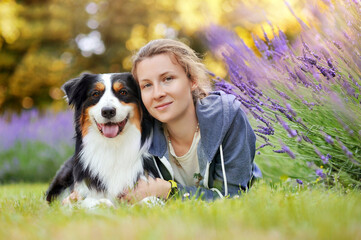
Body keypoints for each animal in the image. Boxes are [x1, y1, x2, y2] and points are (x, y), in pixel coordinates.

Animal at [44, 72, 158, 207]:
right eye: (95, 94)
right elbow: (96, 201)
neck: (112, 146)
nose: (108, 111)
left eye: (123, 92)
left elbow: (151, 199)